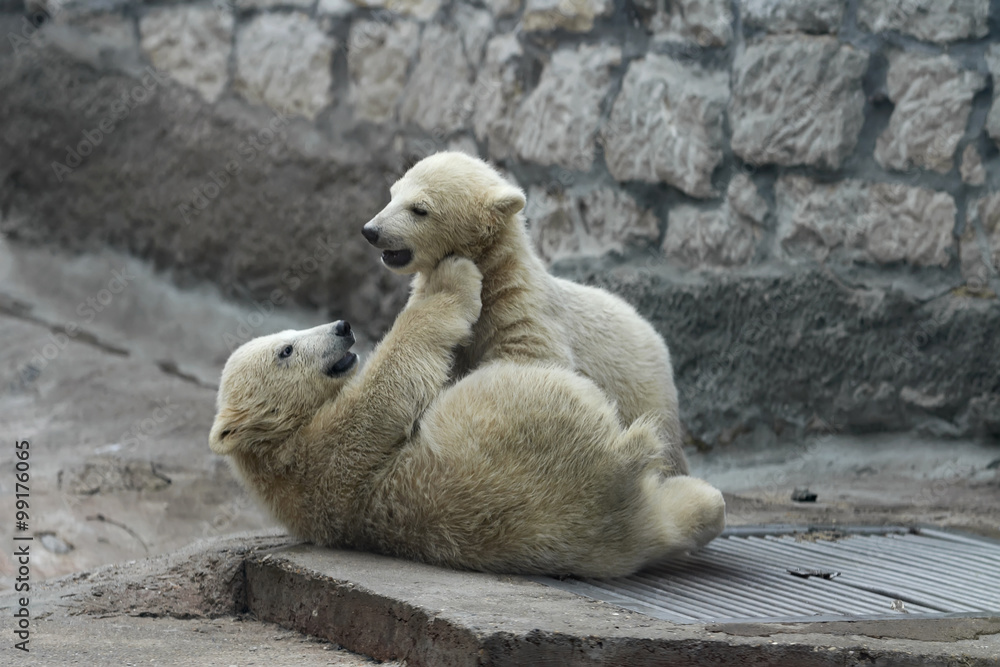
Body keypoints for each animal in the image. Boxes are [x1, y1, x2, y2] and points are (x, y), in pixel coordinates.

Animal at [209, 256, 725, 577]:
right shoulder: (331, 453)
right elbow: (393, 379)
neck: (280, 456)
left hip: (622, 533)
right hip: (524, 414)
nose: (342, 327)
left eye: (288, 336)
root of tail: (612, 472)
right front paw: (450, 280)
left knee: (678, 510)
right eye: (285, 349)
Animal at [362, 152, 688, 474]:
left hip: (647, 392)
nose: (371, 231)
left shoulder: (523, 307)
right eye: (392, 194)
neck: (493, 274)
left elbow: (533, 362)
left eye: (419, 209)